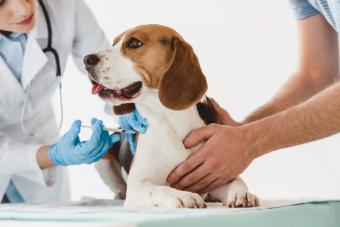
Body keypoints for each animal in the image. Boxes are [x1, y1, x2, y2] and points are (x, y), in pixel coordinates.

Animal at [83, 24, 258, 208]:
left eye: (134, 43)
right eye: (114, 43)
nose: (87, 59)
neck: (171, 119)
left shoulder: (217, 172)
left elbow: (237, 181)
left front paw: (242, 194)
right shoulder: (138, 186)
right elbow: (160, 189)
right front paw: (184, 196)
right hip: (102, 158)